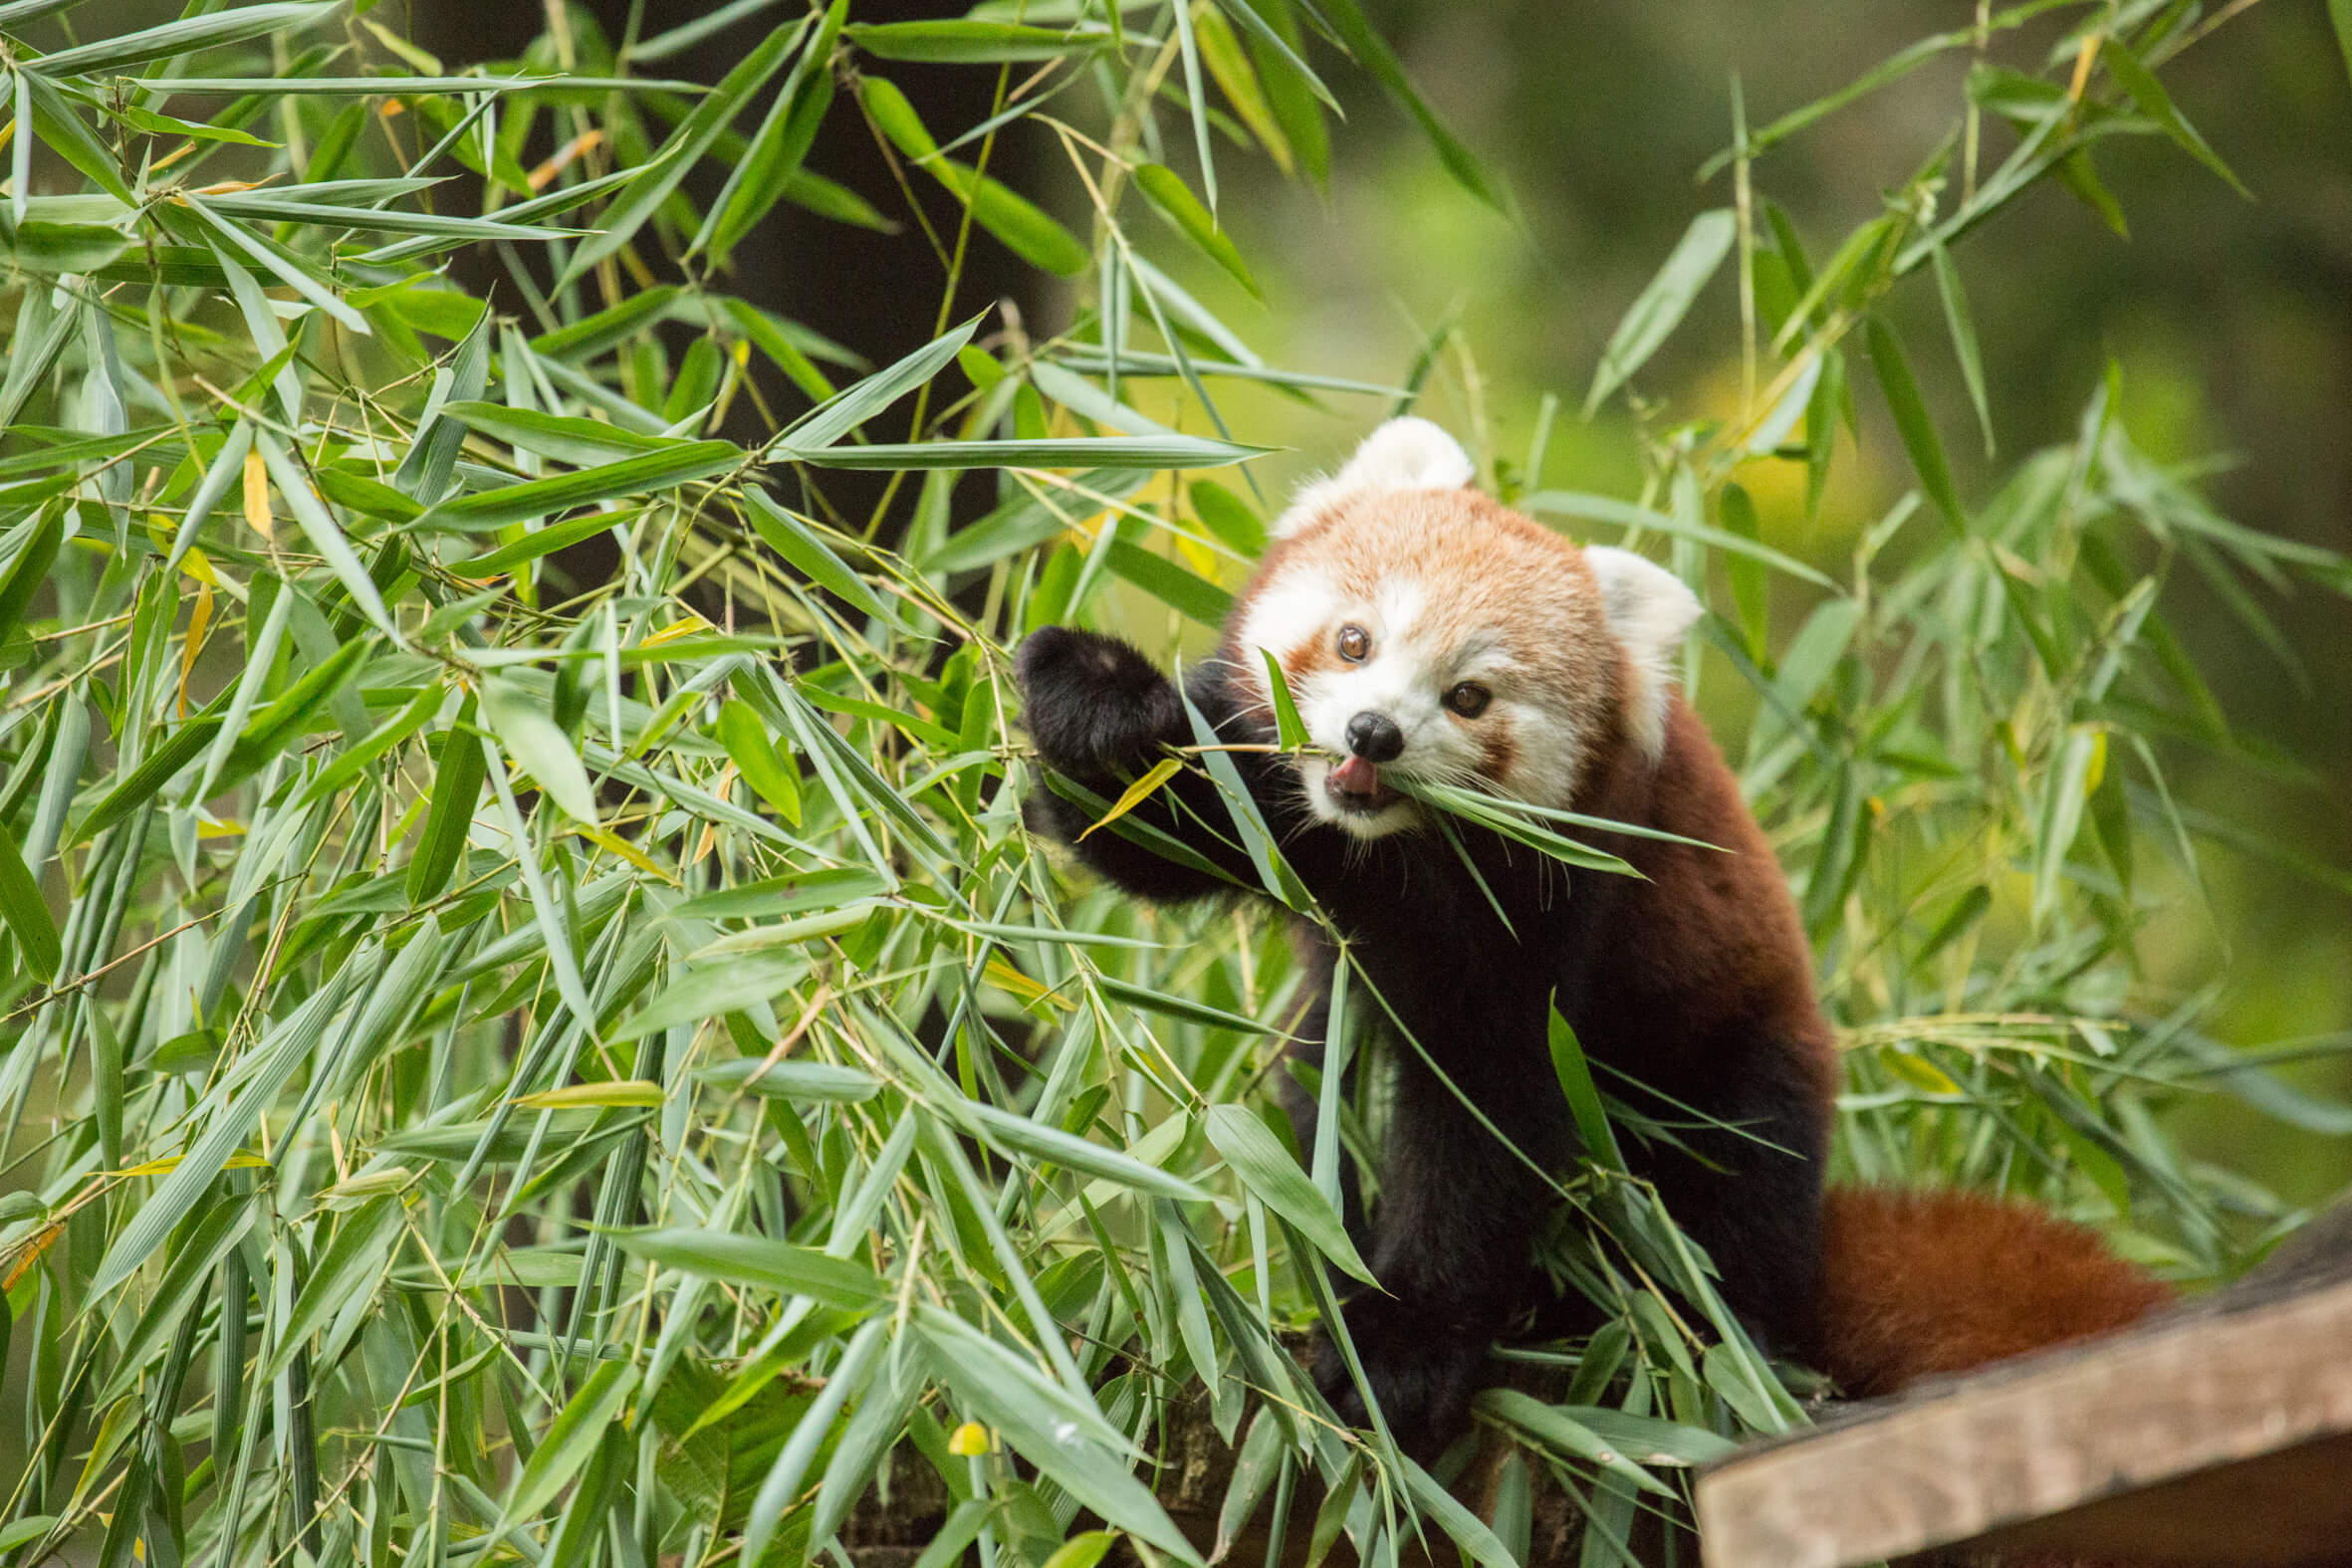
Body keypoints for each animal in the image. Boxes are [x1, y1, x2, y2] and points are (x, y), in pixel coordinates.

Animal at [1011, 415, 2164, 1448]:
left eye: (1469, 697)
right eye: (1354, 640)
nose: (1371, 735)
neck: (1379, 854)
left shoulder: (1552, 915)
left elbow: (1486, 1115)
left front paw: (1403, 1347)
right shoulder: (1287, 821)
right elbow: (1155, 827)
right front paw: (1097, 703)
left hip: (1732, 1070)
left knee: (1727, 1206)